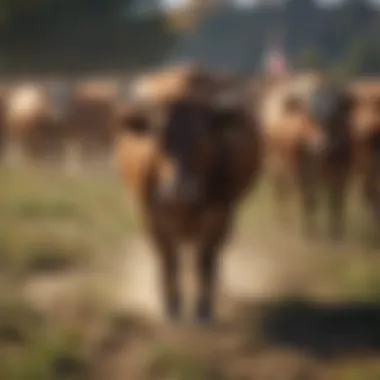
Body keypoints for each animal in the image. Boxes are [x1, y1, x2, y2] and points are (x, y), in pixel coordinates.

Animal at [113, 68, 262, 324]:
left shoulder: (221, 214)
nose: (179, 188)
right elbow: (168, 259)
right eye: (158, 138)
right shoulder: (151, 215)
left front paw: (203, 309)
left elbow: (205, 260)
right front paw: (171, 305)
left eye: (203, 138)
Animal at [260, 71, 354, 242]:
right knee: (279, 191)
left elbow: (336, 204)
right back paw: (280, 221)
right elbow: (309, 201)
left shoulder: (341, 175)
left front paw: (336, 234)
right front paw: (309, 233)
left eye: (334, 117)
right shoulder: (304, 175)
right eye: (308, 116)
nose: (321, 143)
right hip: (275, 163)